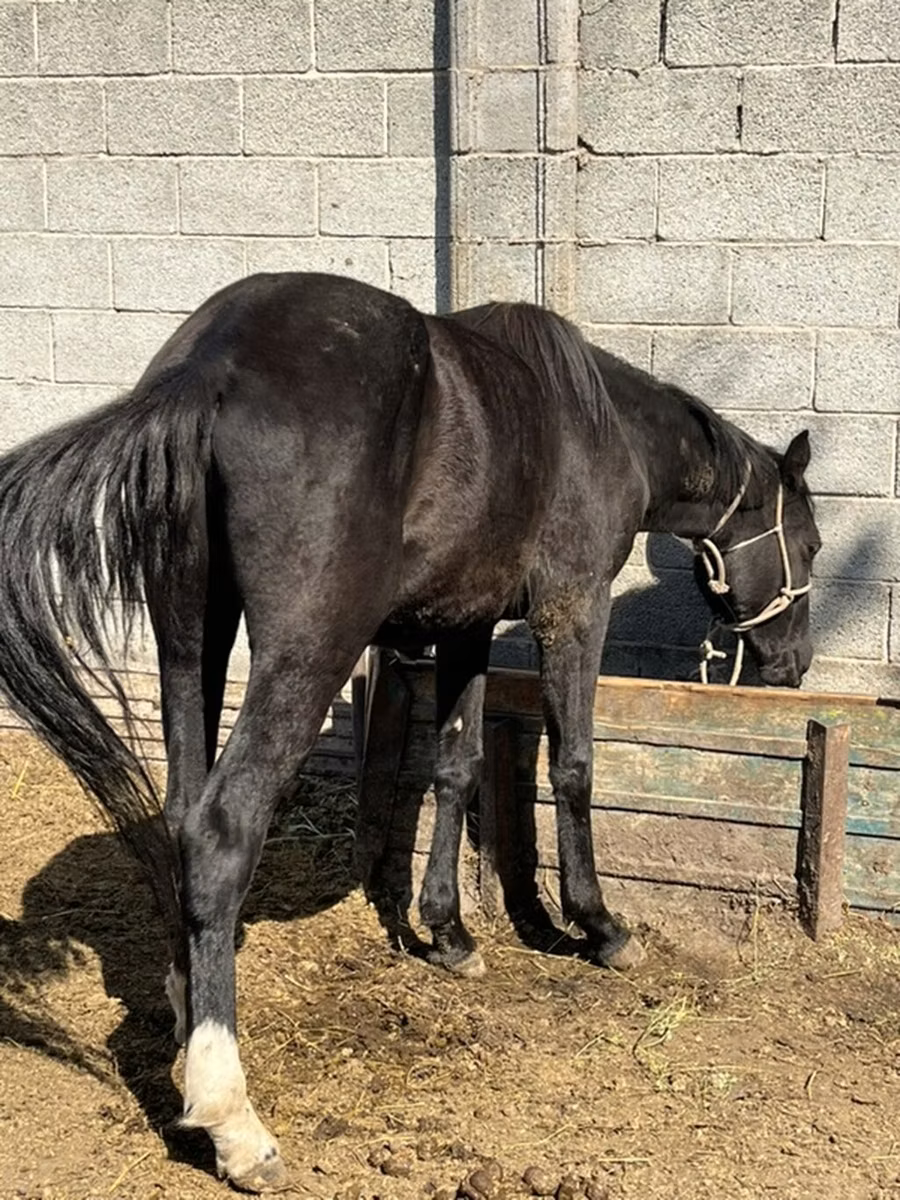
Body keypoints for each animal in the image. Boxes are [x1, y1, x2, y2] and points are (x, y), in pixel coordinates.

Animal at [0, 273, 818, 1191]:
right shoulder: (574, 609)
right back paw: (233, 1120)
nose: (793, 664)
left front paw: (450, 932)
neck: (600, 420)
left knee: (180, 814)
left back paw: (187, 1011)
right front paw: (600, 927)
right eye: (812, 542)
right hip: (309, 645)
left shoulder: (465, 624)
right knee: (219, 830)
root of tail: (208, 366)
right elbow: (572, 765)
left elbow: (456, 767)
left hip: (190, 635)